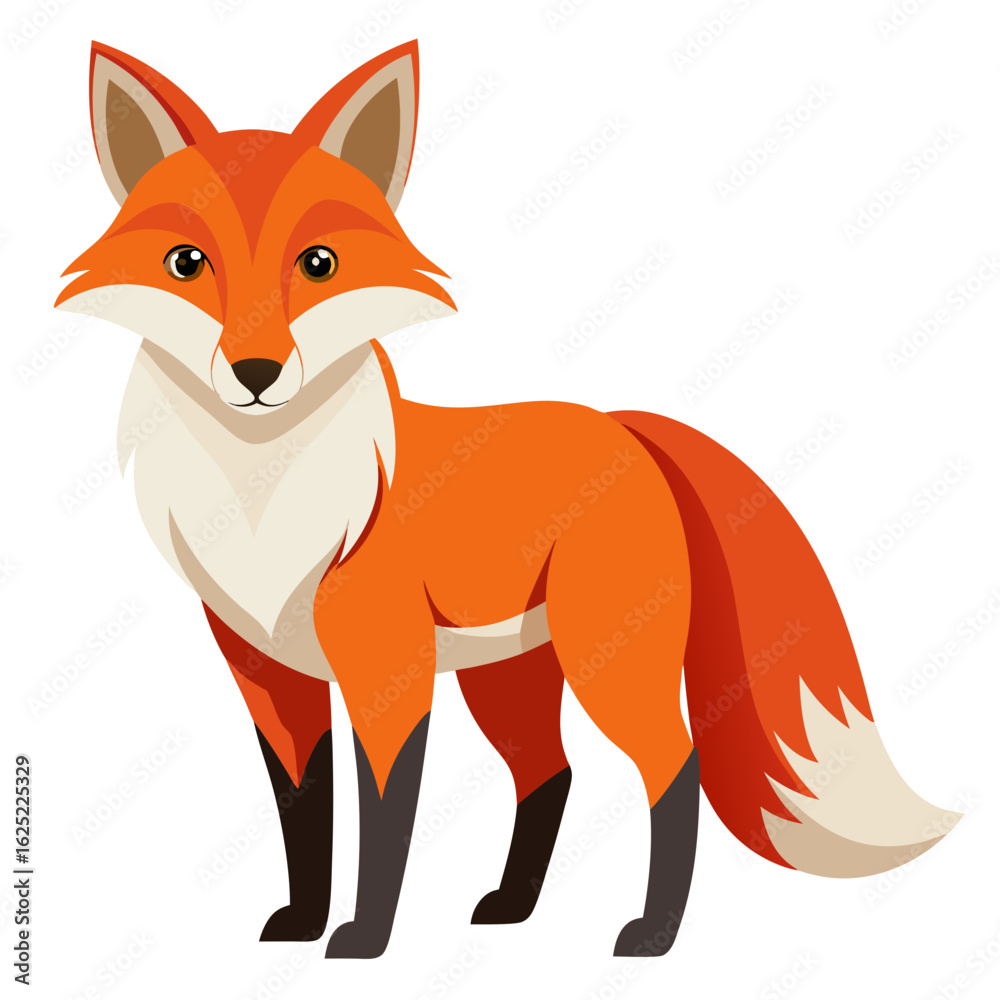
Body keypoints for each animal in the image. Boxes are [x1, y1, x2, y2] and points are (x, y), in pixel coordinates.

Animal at [56, 40, 960, 959]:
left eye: (318, 265)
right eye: (185, 264)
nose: (256, 373)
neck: (260, 500)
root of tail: (622, 427)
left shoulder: (389, 674)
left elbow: (384, 817)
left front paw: (364, 938)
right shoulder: (270, 676)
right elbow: (304, 812)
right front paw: (303, 924)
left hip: (607, 661)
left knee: (673, 765)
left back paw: (653, 933)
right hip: (510, 678)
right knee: (549, 773)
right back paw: (513, 907)